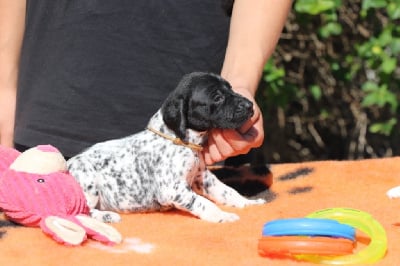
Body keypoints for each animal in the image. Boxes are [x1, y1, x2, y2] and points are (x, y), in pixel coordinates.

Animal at [67, 72, 268, 222]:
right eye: (217, 97)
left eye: (231, 88)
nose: (250, 105)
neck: (182, 141)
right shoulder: (172, 189)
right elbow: (203, 202)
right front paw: (221, 216)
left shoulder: (203, 177)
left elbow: (228, 192)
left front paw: (248, 203)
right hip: (89, 185)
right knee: (79, 212)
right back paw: (107, 216)